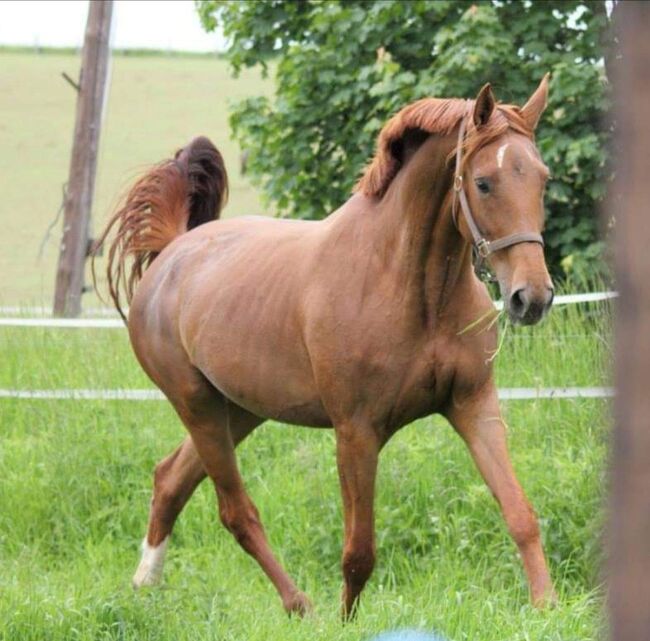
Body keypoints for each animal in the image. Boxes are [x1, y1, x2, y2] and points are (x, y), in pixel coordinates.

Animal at [95, 75, 552, 616]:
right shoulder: (356, 431)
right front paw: (345, 621)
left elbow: (520, 513)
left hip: (239, 410)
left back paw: (145, 587)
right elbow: (359, 552)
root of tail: (171, 252)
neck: (411, 288)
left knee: (171, 479)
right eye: (483, 182)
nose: (532, 298)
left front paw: (548, 607)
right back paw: (299, 606)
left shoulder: (473, 405)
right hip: (197, 405)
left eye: (543, 178)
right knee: (235, 511)